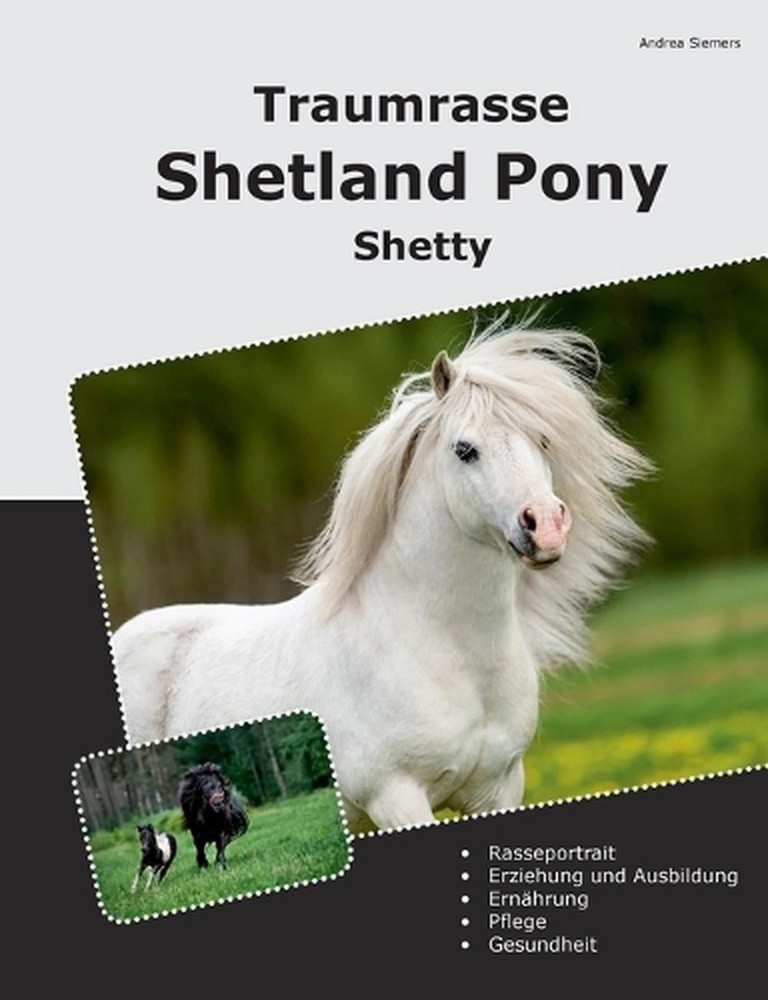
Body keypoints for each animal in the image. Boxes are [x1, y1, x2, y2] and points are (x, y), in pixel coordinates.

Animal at [112, 322, 652, 833]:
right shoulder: (396, 798)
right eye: (464, 449)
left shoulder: (498, 788)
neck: (445, 651)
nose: (545, 526)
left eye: (542, 439)